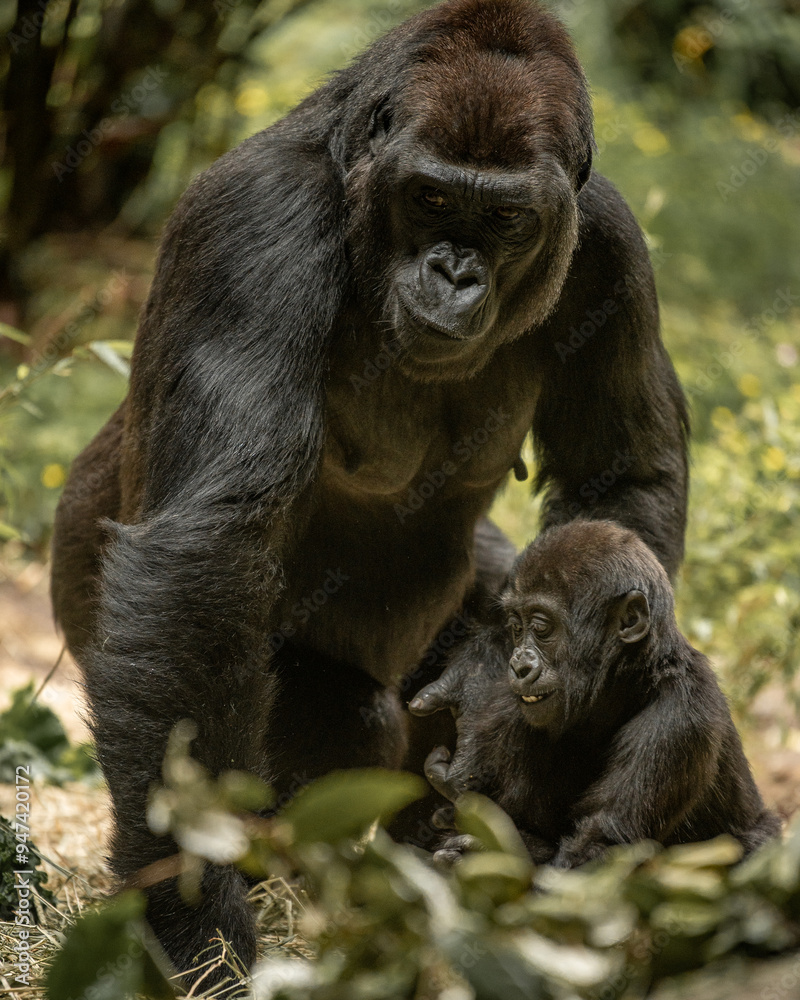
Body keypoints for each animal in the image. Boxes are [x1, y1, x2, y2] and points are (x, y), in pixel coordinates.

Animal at [50, 0, 688, 984]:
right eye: (431, 199)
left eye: (505, 217)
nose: (455, 272)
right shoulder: (259, 224)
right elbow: (205, 551)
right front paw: (193, 917)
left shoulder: (607, 238)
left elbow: (622, 473)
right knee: (334, 713)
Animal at [412, 520, 780, 872]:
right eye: (516, 627)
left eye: (542, 627)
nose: (518, 665)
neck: (631, 683)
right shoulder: (507, 718)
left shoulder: (682, 717)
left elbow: (594, 853)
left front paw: (498, 850)